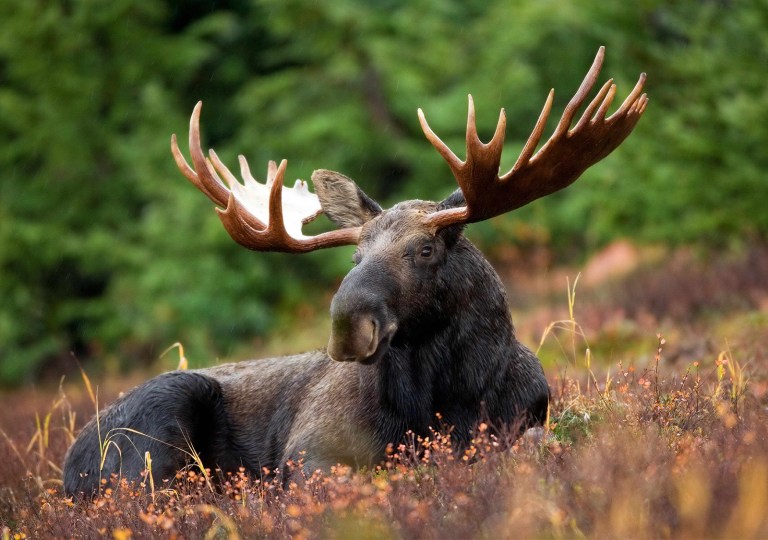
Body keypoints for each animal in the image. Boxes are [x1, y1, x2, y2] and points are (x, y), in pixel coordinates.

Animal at [63, 47, 647, 497]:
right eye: (355, 257)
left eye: (425, 250)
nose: (347, 325)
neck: (449, 398)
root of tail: (67, 467)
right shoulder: (309, 452)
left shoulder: (525, 420)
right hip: (156, 428)